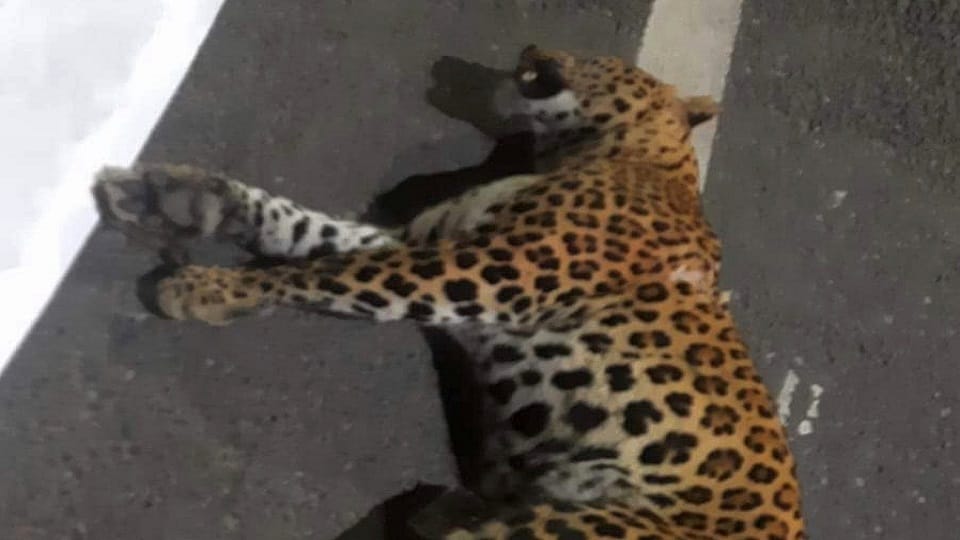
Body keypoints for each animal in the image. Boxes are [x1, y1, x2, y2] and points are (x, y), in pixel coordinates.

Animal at [92, 45, 806, 539]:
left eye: (604, 62)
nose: (531, 49)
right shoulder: (437, 239)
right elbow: (303, 230)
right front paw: (178, 199)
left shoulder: (499, 267)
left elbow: (326, 275)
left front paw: (206, 286)